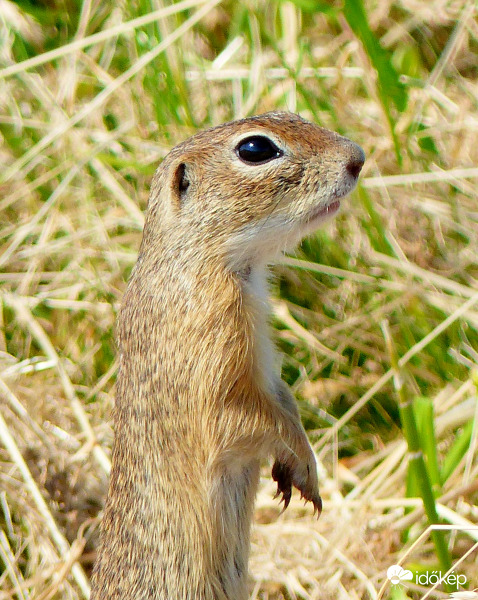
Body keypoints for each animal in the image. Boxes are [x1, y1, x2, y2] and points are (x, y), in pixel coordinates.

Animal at [91, 112, 364, 600]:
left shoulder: (266, 369)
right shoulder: (216, 360)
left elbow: (284, 399)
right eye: (255, 149)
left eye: (294, 114)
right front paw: (304, 467)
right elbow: (251, 418)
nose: (358, 158)